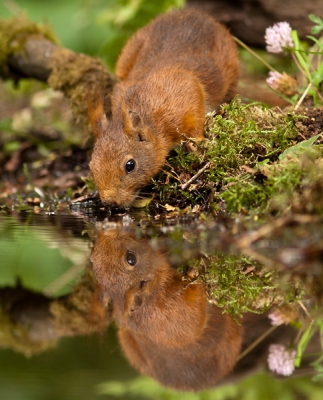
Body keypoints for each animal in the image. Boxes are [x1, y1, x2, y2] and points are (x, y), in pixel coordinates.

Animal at [88, 9, 238, 206]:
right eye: (91, 167)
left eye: (130, 165)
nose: (110, 202)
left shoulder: (186, 92)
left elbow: (196, 116)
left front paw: (196, 143)